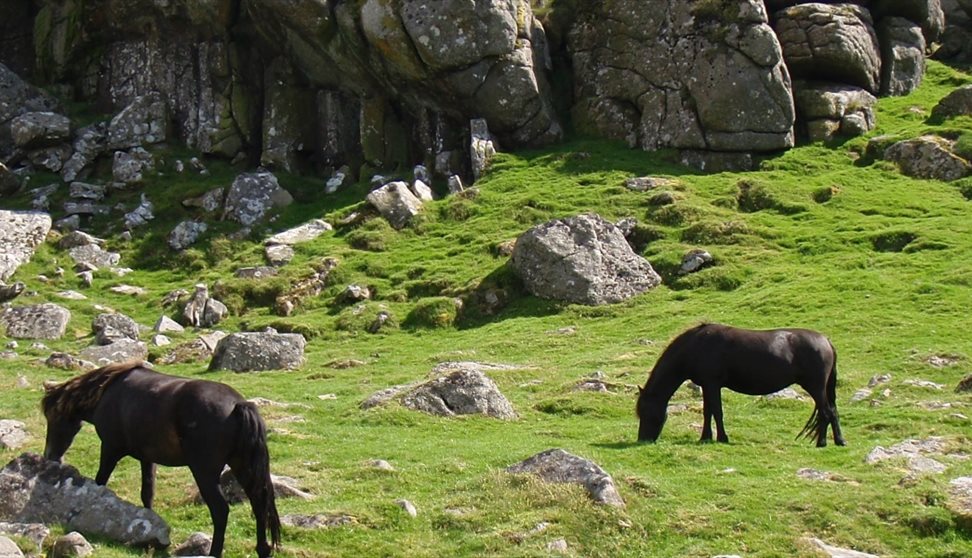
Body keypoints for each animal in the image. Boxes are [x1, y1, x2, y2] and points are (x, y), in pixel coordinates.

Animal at [43, 360, 282, 556]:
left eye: (53, 416)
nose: (50, 457)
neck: (108, 391)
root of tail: (238, 405)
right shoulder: (147, 459)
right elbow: (147, 494)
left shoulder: (110, 449)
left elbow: (100, 482)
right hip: (243, 467)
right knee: (259, 504)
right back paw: (263, 549)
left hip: (204, 472)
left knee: (220, 510)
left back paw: (215, 552)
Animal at [636, 326, 848, 448]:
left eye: (646, 412)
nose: (642, 440)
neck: (696, 344)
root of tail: (826, 341)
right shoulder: (708, 385)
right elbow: (709, 412)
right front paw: (708, 437)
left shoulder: (711, 384)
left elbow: (715, 412)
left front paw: (719, 438)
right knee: (833, 411)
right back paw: (839, 441)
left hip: (816, 387)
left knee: (826, 412)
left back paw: (822, 443)